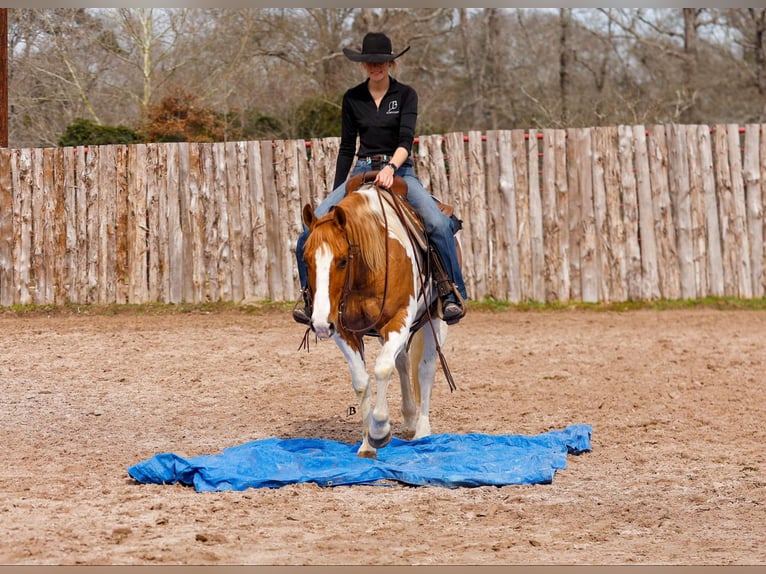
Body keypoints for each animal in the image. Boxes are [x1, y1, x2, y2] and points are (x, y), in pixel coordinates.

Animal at [300, 173, 456, 462]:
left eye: (342, 260)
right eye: (306, 260)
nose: (320, 324)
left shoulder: (399, 318)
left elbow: (383, 368)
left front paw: (380, 431)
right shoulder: (344, 330)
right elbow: (362, 381)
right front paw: (367, 444)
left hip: (434, 320)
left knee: (424, 369)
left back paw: (422, 431)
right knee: (402, 362)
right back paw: (409, 420)